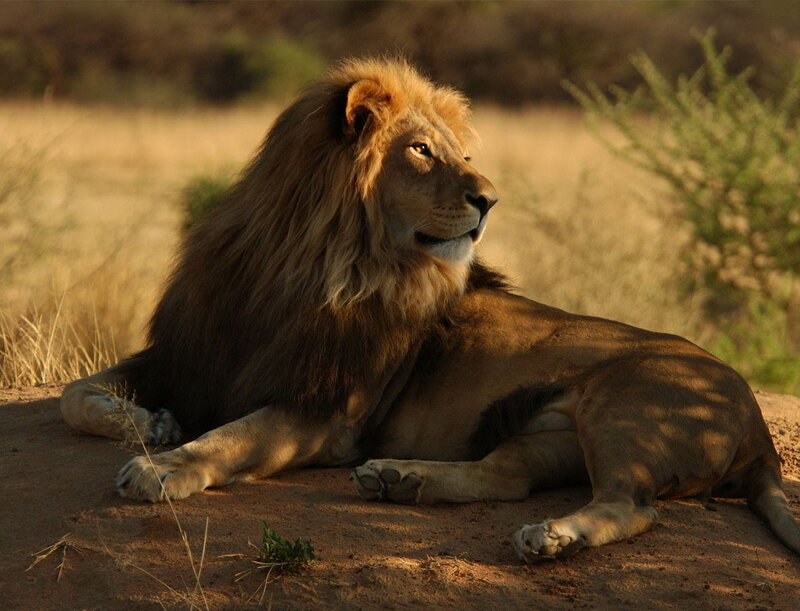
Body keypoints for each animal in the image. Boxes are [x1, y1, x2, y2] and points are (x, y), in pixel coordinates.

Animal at [61, 57, 800, 561]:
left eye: (462, 153)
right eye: (420, 149)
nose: (490, 199)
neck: (303, 267)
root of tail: (759, 428)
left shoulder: (328, 412)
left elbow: (234, 434)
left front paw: (162, 466)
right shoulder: (188, 358)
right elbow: (76, 394)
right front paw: (148, 424)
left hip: (626, 406)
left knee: (632, 506)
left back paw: (550, 536)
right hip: (550, 432)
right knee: (504, 476)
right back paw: (402, 479)